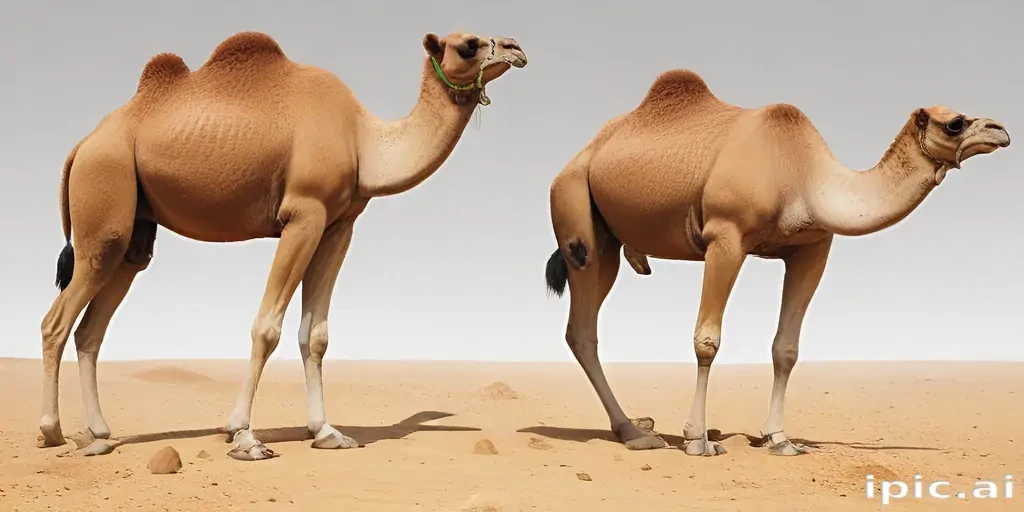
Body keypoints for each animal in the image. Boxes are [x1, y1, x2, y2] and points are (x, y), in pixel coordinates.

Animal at [38, 30, 527, 461]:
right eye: (468, 44)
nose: (516, 48)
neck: (363, 142)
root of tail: (81, 146)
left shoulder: (338, 226)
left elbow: (316, 335)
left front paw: (327, 432)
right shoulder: (303, 213)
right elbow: (267, 327)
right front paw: (244, 435)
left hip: (134, 232)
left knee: (91, 328)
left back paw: (99, 435)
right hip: (105, 194)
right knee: (57, 321)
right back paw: (51, 432)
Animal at [543, 69, 1010, 457]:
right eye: (955, 122)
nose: (1001, 131)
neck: (803, 177)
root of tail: (583, 153)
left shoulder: (813, 248)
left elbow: (786, 348)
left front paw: (780, 439)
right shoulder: (726, 237)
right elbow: (707, 340)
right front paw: (698, 440)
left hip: (609, 240)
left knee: (584, 322)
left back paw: (638, 426)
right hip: (575, 210)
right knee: (582, 328)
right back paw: (637, 434)